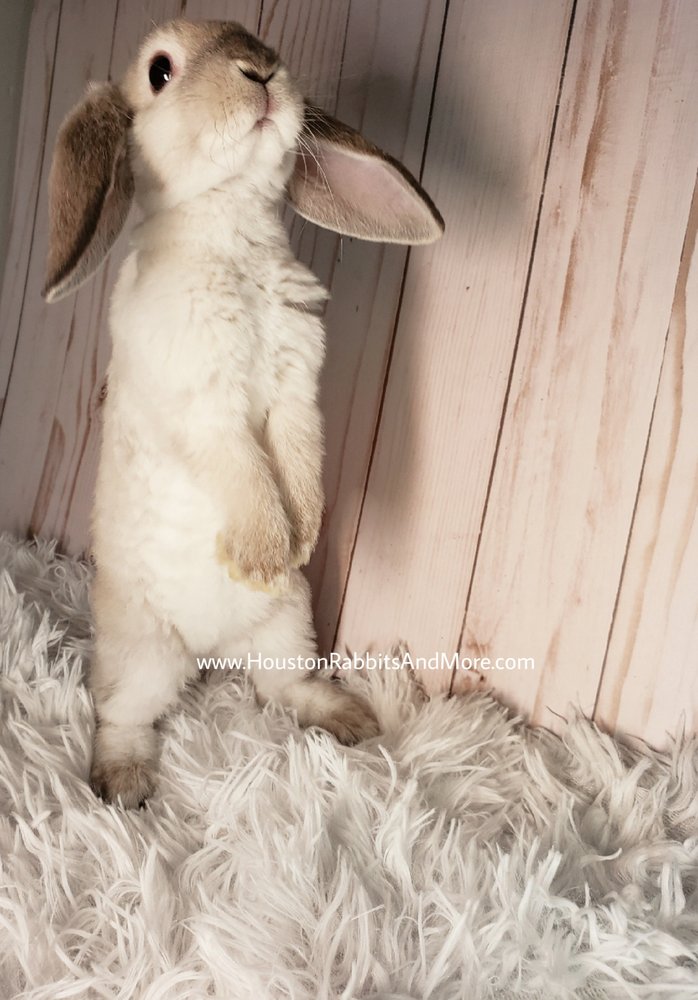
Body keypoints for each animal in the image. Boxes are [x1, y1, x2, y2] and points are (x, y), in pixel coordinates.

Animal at [43, 19, 444, 808]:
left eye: (258, 40)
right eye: (160, 71)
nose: (260, 72)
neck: (228, 228)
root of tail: (207, 649)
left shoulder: (296, 391)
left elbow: (299, 457)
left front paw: (302, 534)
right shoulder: (204, 406)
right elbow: (243, 468)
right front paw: (262, 551)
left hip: (289, 629)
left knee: (280, 687)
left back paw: (348, 718)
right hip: (142, 657)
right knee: (122, 716)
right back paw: (123, 784)